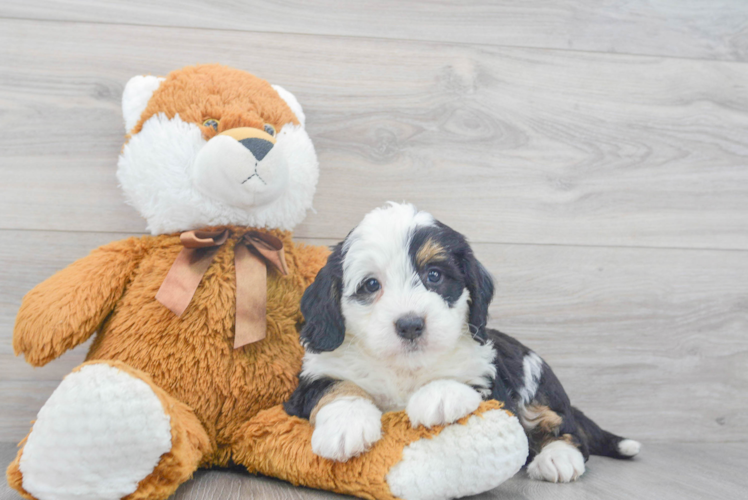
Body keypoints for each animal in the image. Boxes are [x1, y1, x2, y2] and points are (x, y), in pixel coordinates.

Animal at [284, 202, 640, 480]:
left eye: (434, 275)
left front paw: (440, 394)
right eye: (371, 285)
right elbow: (336, 386)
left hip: (537, 382)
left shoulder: (495, 387)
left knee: (566, 428)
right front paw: (346, 424)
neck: (405, 368)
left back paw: (557, 459)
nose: (410, 325)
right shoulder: (311, 380)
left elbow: (469, 382)